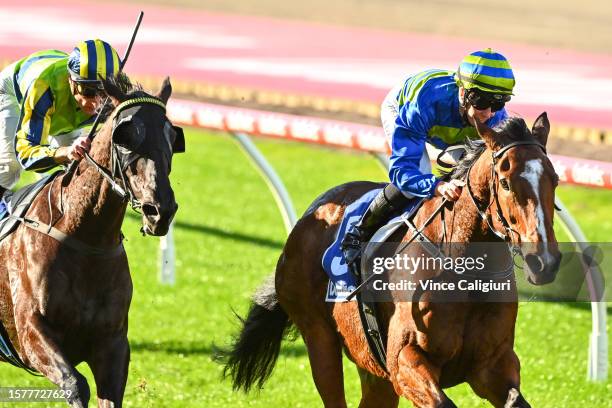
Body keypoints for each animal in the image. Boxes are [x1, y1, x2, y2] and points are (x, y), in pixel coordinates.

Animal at [0, 76, 183, 408]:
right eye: (125, 135)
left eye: (172, 136)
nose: (159, 210)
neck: (85, 237)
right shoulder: (30, 334)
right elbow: (75, 384)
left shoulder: (112, 344)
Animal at [222, 112, 560, 408]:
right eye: (505, 181)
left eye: (554, 180)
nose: (545, 261)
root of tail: (310, 214)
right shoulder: (404, 361)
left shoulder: (493, 365)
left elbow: (515, 400)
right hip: (320, 339)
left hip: (371, 364)